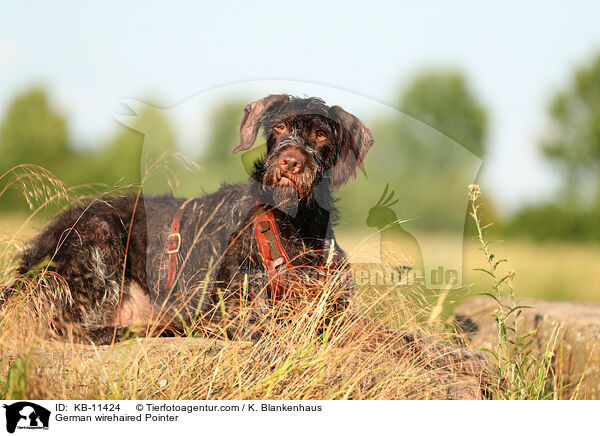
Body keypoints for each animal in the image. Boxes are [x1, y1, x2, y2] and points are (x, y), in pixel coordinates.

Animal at [16, 95, 490, 388]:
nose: (290, 162)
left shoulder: (335, 314)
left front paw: (464, 359)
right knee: (69, 327)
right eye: (278, 128)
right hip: (99, 239)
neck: (297, 226)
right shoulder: (251, 315)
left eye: (322, 135)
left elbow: (403, 338)